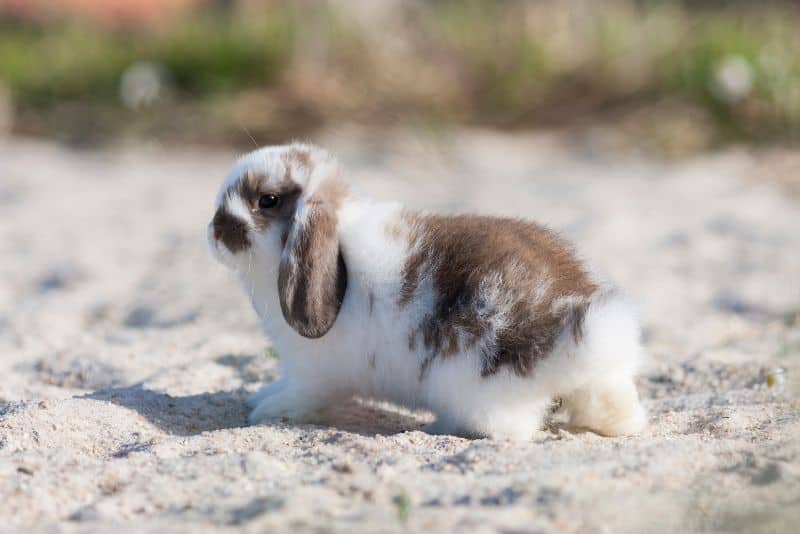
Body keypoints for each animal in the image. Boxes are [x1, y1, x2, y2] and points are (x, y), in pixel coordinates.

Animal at [208, 143, 647, 440]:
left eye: (267, 200)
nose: (214, 233)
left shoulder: (312, 373)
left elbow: (300, 396)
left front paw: (266, 410)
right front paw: (259, 397)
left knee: (510, 430)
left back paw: (442, 426)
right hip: (603, 386)